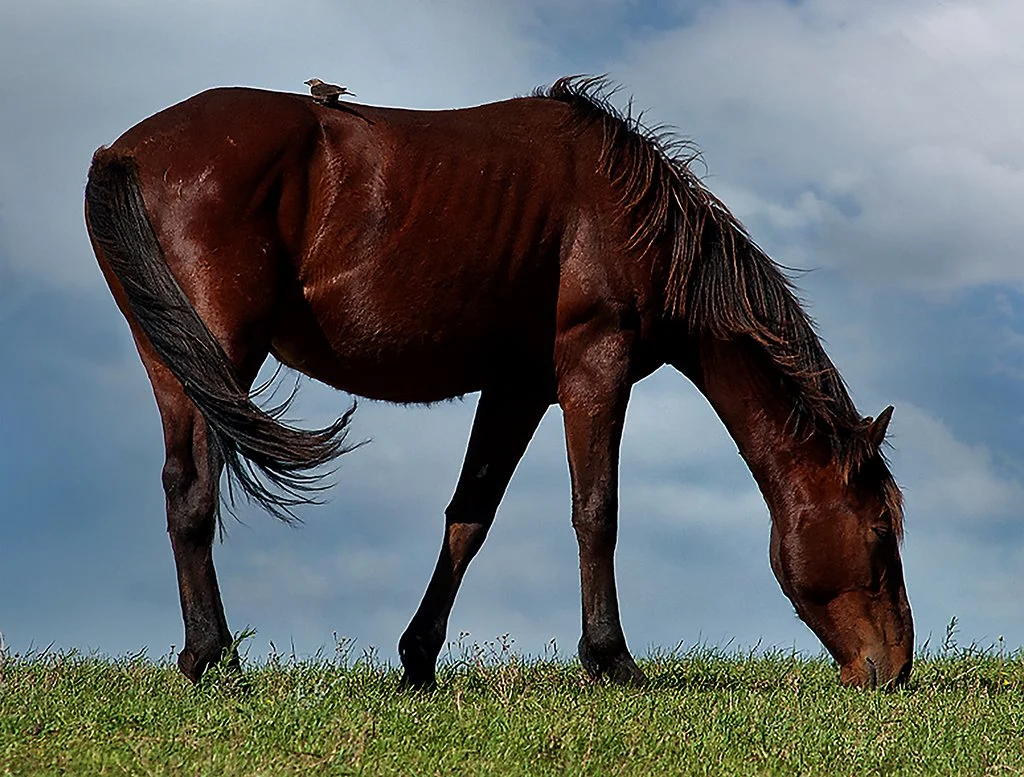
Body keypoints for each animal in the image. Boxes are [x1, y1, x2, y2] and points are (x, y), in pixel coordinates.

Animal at [85, 76, 912, 689]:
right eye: (880, 528)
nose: (896, 667)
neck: (635, 217)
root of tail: (123, 149)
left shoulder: (518, 388)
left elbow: (469, 519)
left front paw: (418, 661)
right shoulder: (594, 365)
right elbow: (596, 511)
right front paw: (611, 659)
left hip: (173, 357)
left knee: (183, 487)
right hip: (220, 351)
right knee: (195, 492)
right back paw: (215, 657)